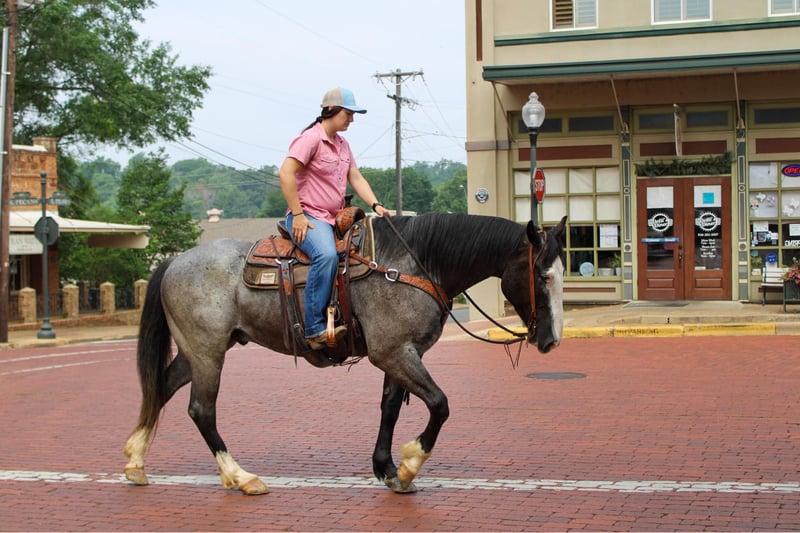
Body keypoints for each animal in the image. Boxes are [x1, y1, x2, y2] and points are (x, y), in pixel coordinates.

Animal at [123, 212, 568, 495]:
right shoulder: (393, 353)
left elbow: (390, 408)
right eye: (543, 275)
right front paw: (409, 465)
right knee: (201, 410)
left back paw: (135, 463)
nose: (551, 340)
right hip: (207, 352)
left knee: (160, 390)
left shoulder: (400, 353)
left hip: (197, 351)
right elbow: (440, 405)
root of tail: (176, 260)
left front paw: (387, 468)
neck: (413, 266)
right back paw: (241, 476)